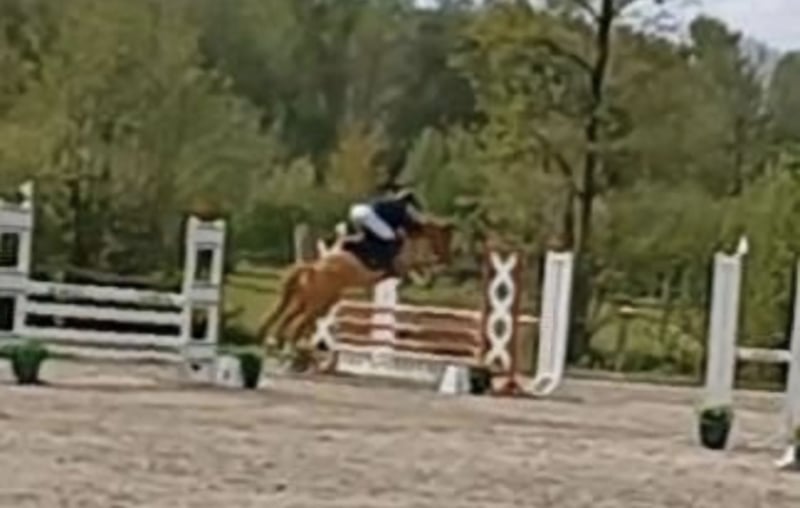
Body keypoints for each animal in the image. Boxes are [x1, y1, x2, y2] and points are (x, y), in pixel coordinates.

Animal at [257, 219, 454, 360]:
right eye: (445, 241)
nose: (447, 260)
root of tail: (313, 268)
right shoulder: (403, 265)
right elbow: (421, 267)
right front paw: (427, 279)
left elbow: (419, 268)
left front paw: (428, 279)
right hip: (317, 304)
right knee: (298, 324)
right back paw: (291, 351)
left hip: (312, 302)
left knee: (290, 318)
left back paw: (277, 344)